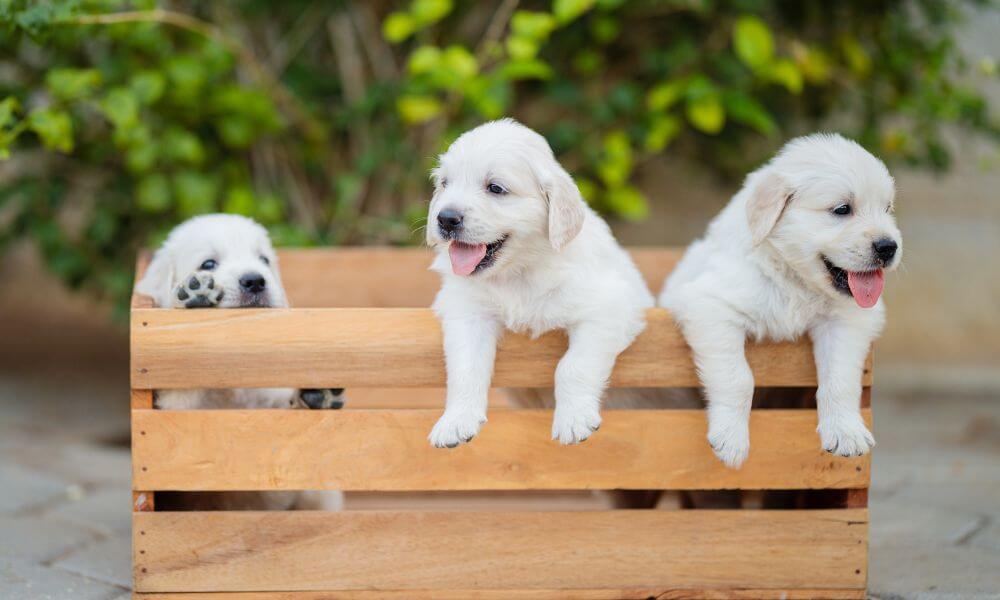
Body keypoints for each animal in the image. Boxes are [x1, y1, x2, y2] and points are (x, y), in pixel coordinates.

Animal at [422, 118, 648, 446]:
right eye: (444, 184)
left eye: (495, 188)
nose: (446, 218)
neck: (519, 271)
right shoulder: (467, 312)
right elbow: (466, 366)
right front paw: (455, 420)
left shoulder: (608, 308)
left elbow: (572, 366)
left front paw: (573, 419)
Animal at [660, 135, 904, 468]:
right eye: (842, 209)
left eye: (887, 208)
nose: (889, 247)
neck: (793, 278)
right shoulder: (709, 306)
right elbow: (738, 377)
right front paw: (731, 439)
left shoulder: (847, 320)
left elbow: (840, 378)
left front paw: (845, 431)